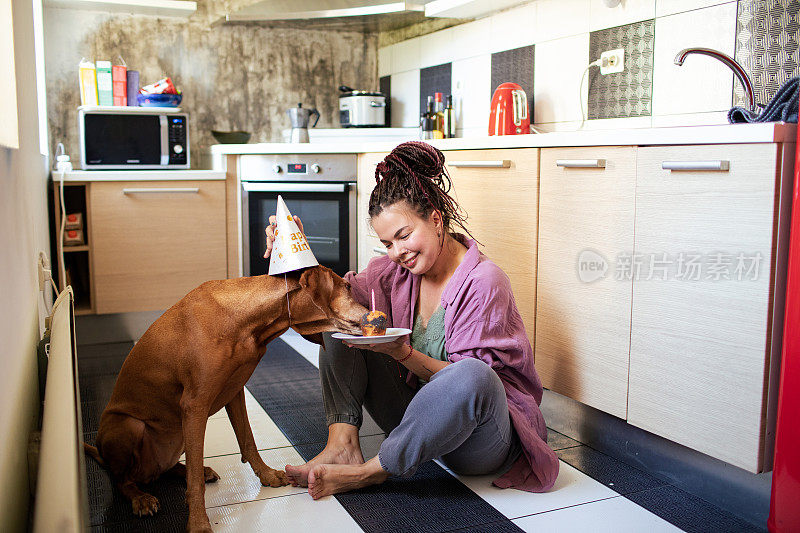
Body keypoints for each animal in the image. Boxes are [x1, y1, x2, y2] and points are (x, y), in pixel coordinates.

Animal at [83, 264, 366, 528]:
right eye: (347, 287)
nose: (370, 312)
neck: (246, 320)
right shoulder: (194, 406)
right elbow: (194, 483)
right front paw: (198, 523)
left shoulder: (235, 392)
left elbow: (248, 440)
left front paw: (267, 475)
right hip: (128, 425)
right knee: (123, 480)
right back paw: (140, 498)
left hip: (178, 436)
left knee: (168, 469)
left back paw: (196, 470)